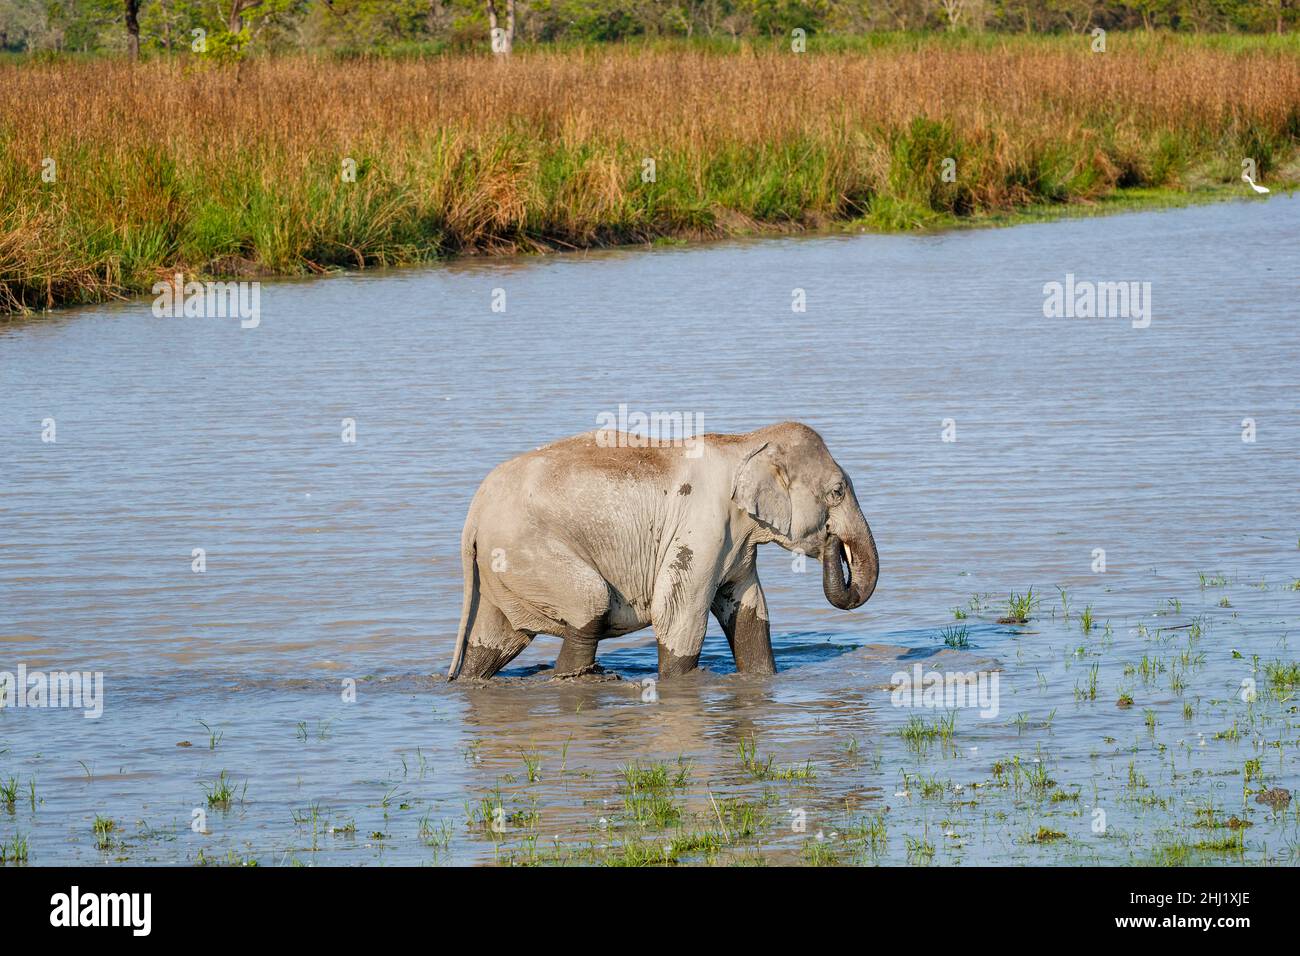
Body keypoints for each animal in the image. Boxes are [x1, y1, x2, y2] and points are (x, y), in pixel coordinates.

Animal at [441, 421, 878, 681]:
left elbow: (749, 613)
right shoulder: (703, 527)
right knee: (590, 607)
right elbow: (678, 616)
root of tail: (473, 516)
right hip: (529, 553)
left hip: (502, 570)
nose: (834, 544)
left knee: (493, 642)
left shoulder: (736, 544)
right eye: (837, 492)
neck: (745, 443)